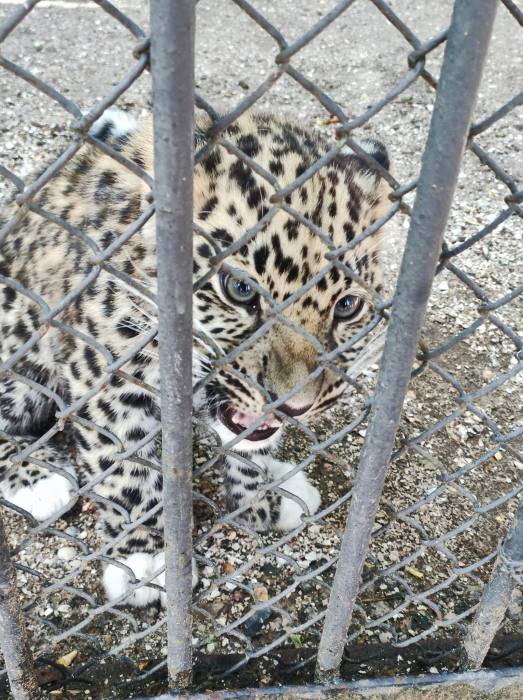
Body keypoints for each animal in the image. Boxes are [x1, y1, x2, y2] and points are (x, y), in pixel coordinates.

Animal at [0, 108, 391, 607]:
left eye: (347, 307)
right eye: (240, 289)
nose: (294, 406)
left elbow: (249, 450)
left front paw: (261, 497)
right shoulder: (104, 376)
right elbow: (125, 468)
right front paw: (145, 559)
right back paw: (38, 477)